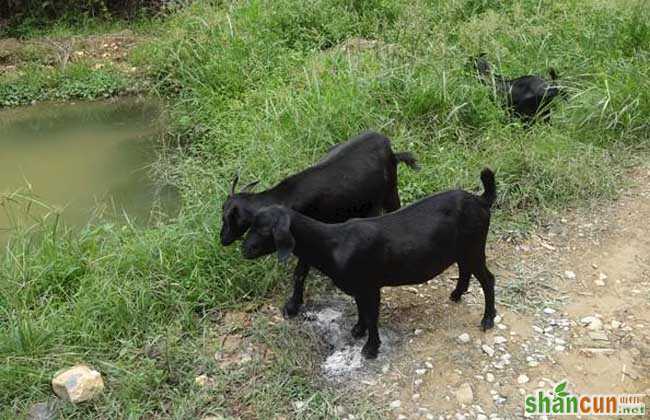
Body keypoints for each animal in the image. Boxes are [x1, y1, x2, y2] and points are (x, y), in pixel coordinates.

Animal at [220, 131, 418, 318]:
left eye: (228, 218)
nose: (222, 239)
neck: (285, 197)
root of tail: (388, 145)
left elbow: (299, 273)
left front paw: (292, 306)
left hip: (390, 192)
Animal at [242, 169, 496, 360]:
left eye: (264, 230)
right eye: (251, 225)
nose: (245, 249)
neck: (333, 243)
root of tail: (480, 200)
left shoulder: (370, 285)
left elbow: (372, 315)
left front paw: (370, 348)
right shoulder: (358, 287)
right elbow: (361, 309)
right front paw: (357, 330)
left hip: (474, 247)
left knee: (487, 279)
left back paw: (487, 319)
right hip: (463, 250)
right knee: (465, 269)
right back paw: (457, 294)